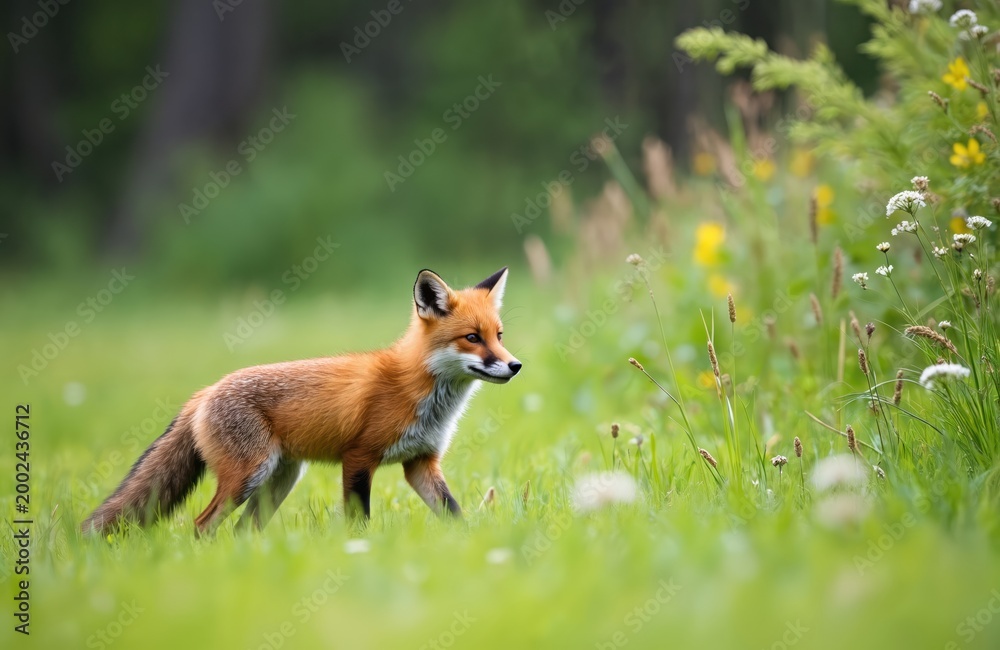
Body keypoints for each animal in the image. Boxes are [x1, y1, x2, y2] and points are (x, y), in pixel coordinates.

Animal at [81, 267, 521, 536]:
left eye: (498, 335)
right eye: (472, 338)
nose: (515, 365)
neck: (419, 391)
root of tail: (205, 391)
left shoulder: (421, 463)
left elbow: (454, 512)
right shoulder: (358, 457)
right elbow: (358, 521)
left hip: (279, 481)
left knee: (242, 532)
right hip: (247, 476)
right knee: (202, 525)